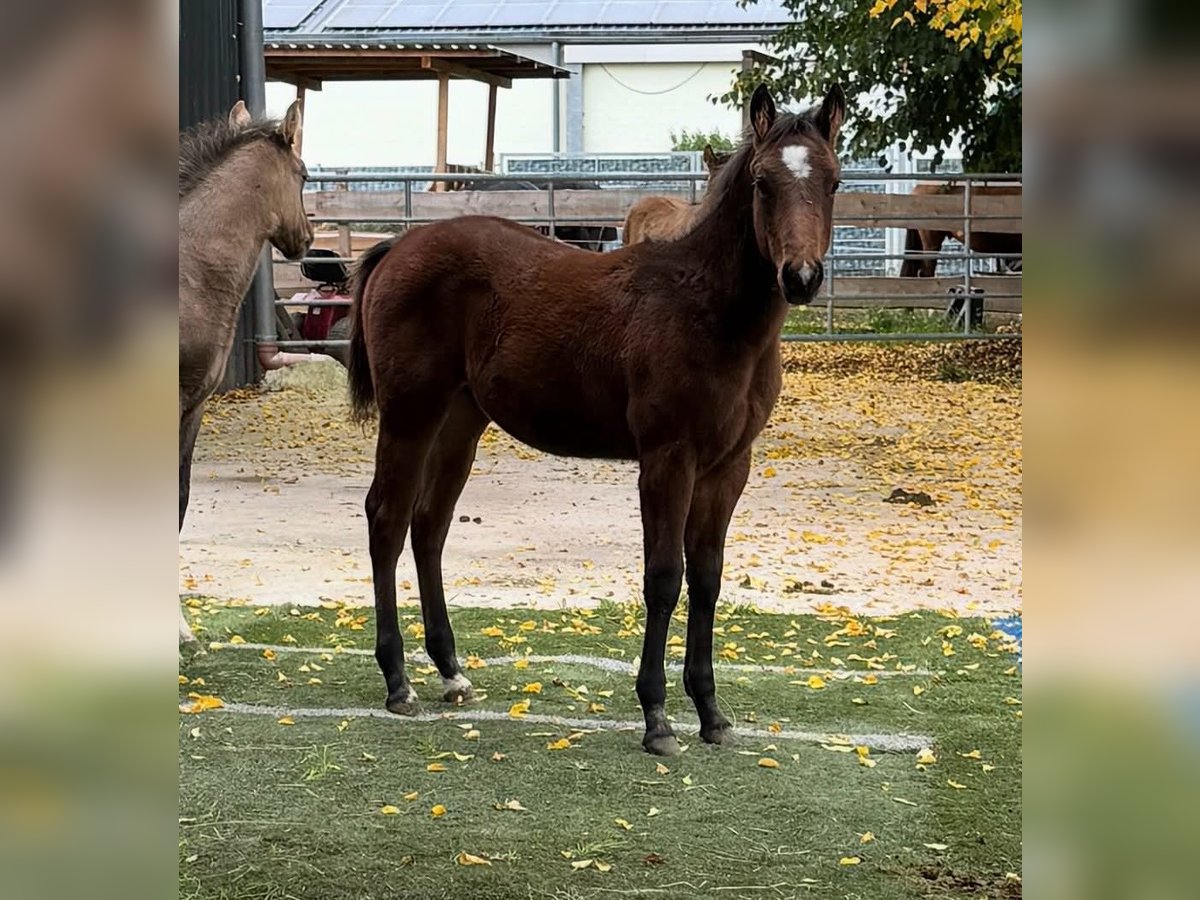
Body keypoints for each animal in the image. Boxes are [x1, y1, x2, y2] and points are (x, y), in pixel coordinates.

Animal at [345, 84, 844, 755]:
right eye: (764, 183)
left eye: (834, 180)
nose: (802, 277)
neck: (706, 309)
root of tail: (397, 246)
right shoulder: (667, 459)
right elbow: (664, 576)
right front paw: (657, 718)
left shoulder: (727, 467)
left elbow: (707, 578)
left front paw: (711, 713)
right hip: (409, 415)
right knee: (387, 519)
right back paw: (398, 681)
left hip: (460, 422)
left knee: (429, 526)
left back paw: (451, 673)